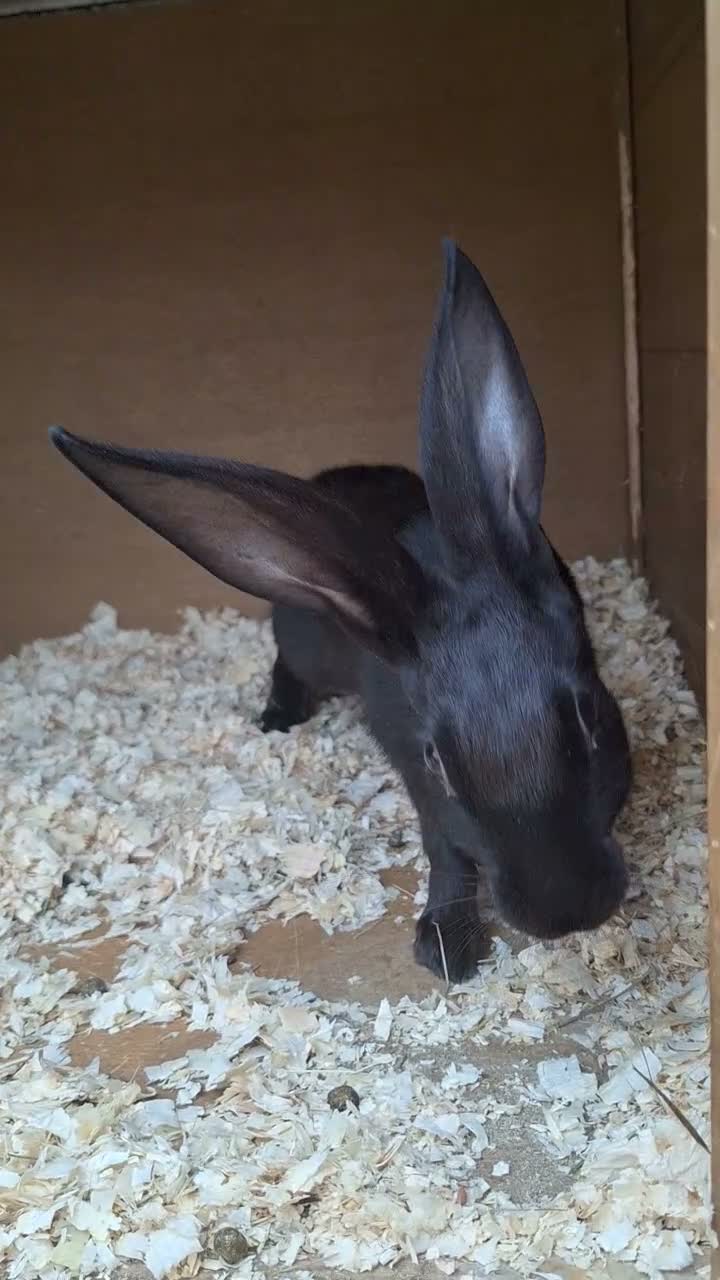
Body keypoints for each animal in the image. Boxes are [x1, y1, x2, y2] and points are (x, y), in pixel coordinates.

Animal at [49, 239, 632, 982]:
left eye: (589, 717)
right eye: (437, 760)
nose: (563, 913)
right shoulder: (426, 799)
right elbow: (446, 854)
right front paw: (445, 948)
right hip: (305, 641)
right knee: (286, 667)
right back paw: (276, 720)